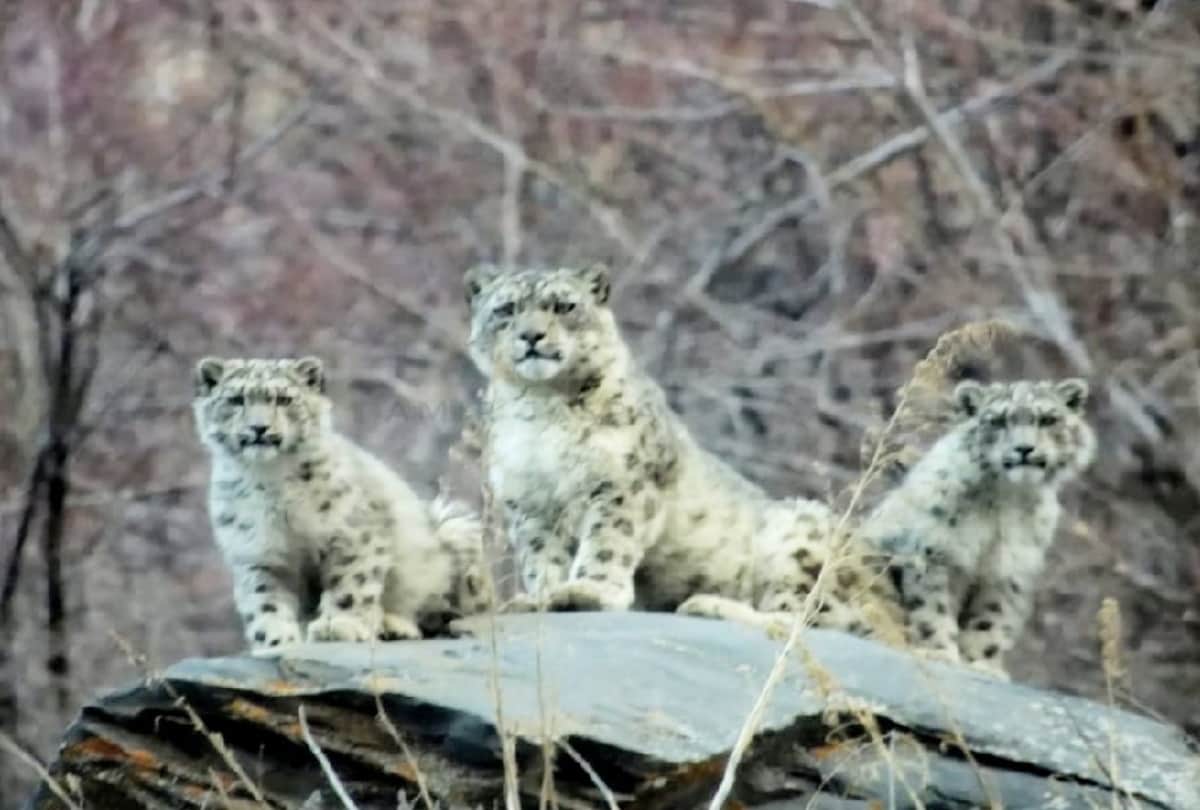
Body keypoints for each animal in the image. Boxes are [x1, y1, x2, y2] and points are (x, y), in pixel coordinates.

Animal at [192, 356, 490, 652]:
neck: (270, 479)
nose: (259, 427)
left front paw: (338, 626)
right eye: (236, 400)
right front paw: (275, 639)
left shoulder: (353, 535)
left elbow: (350, 584)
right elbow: (263, 598)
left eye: (284, 400)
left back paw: (394, 625)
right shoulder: (257, 552)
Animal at [465, 263, 898, 637]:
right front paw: (541, 595)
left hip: (801, 535)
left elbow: (608, 541)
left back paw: (707, 604)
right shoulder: (529, 503)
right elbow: (541, 556)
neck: (541, 406)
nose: (532, 336)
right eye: (506, 309)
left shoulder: (621, 484)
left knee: (808, 621)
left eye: (564, 306)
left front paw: (588, 590)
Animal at [857, 378, 1096, 678]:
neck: (1007, 498)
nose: (1024, 448)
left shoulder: (1007, 571)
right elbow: (932, 608)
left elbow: (991, 620)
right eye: (998, 421)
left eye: (1047, 419)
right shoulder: (935, 553)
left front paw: (983, 665)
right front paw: (940, 653)